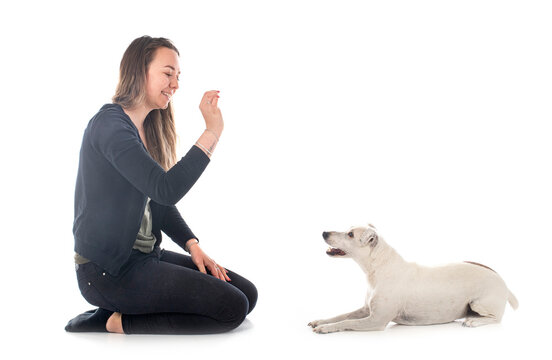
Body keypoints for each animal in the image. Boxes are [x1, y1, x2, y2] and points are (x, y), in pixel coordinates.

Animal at [308, 224, 520, 334]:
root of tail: (504, 283)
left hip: (479, 303)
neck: (378, 268)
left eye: (350, 234)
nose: (324, 232)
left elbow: (348, 323)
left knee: (496, 318)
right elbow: (342, 315)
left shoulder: (376, 320)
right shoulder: (365, 310)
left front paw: (326, 328)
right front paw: (321, 321)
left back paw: (473, 322)